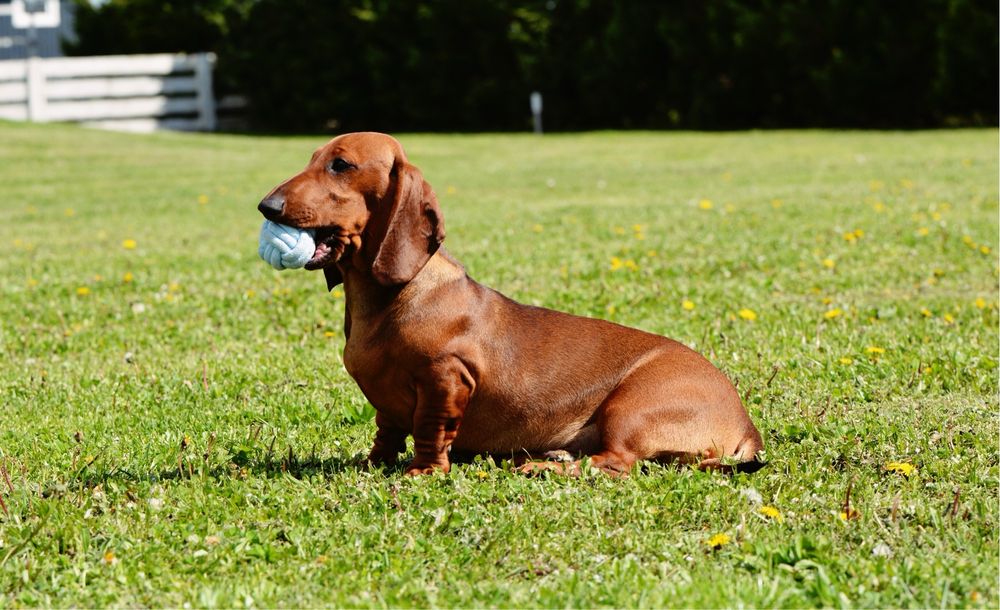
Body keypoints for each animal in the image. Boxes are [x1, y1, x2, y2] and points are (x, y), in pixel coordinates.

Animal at [258, 132, 764, 476]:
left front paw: (422, 471)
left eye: (340, 165)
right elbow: (387, 430)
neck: (392, 300)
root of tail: (745, 426)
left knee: (614, 464)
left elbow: (429, 429)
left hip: (631, 409)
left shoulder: (447, 378)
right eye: (313, 159)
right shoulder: (388, 403)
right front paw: (371, 463)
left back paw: (542, 466)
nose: (266, 206)